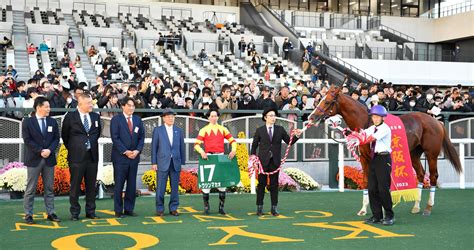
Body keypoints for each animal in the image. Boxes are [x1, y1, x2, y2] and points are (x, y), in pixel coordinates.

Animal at [310, 85, 462, 216]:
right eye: (321, 99)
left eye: (327, 101)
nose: (312, 117)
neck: (367, 123)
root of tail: (436, 122)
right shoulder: (364, 158)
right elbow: (366, 181)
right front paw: (364, 209)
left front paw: (382, 210)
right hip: (414, 154)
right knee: (420, 174)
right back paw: (416, 206)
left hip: (431, 154)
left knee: (433, 176)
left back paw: (428, 207)